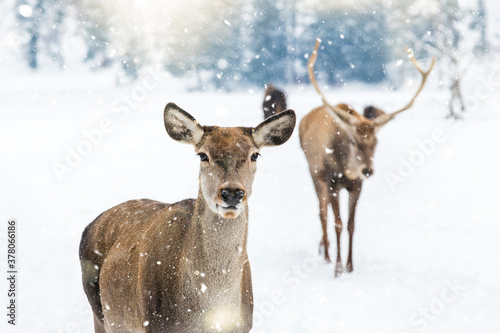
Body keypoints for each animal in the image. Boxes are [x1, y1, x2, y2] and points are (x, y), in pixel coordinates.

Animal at [79, 102, 294, 330]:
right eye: (203, 155)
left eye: (255, 155)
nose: (232, 192)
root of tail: (90, 224)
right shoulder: (155, 324)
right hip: (99, 313)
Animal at [298, 39, 436, 276]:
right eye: (353, 142)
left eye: (376, 142)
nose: (367, 170)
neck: (346, 170)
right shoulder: (332, 182)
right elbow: (337, 223)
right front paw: (337, 269)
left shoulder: (357, 185)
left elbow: (352, 225)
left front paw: (350, 266)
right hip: (314, 173)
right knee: (321, 212)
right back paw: (325, 255)